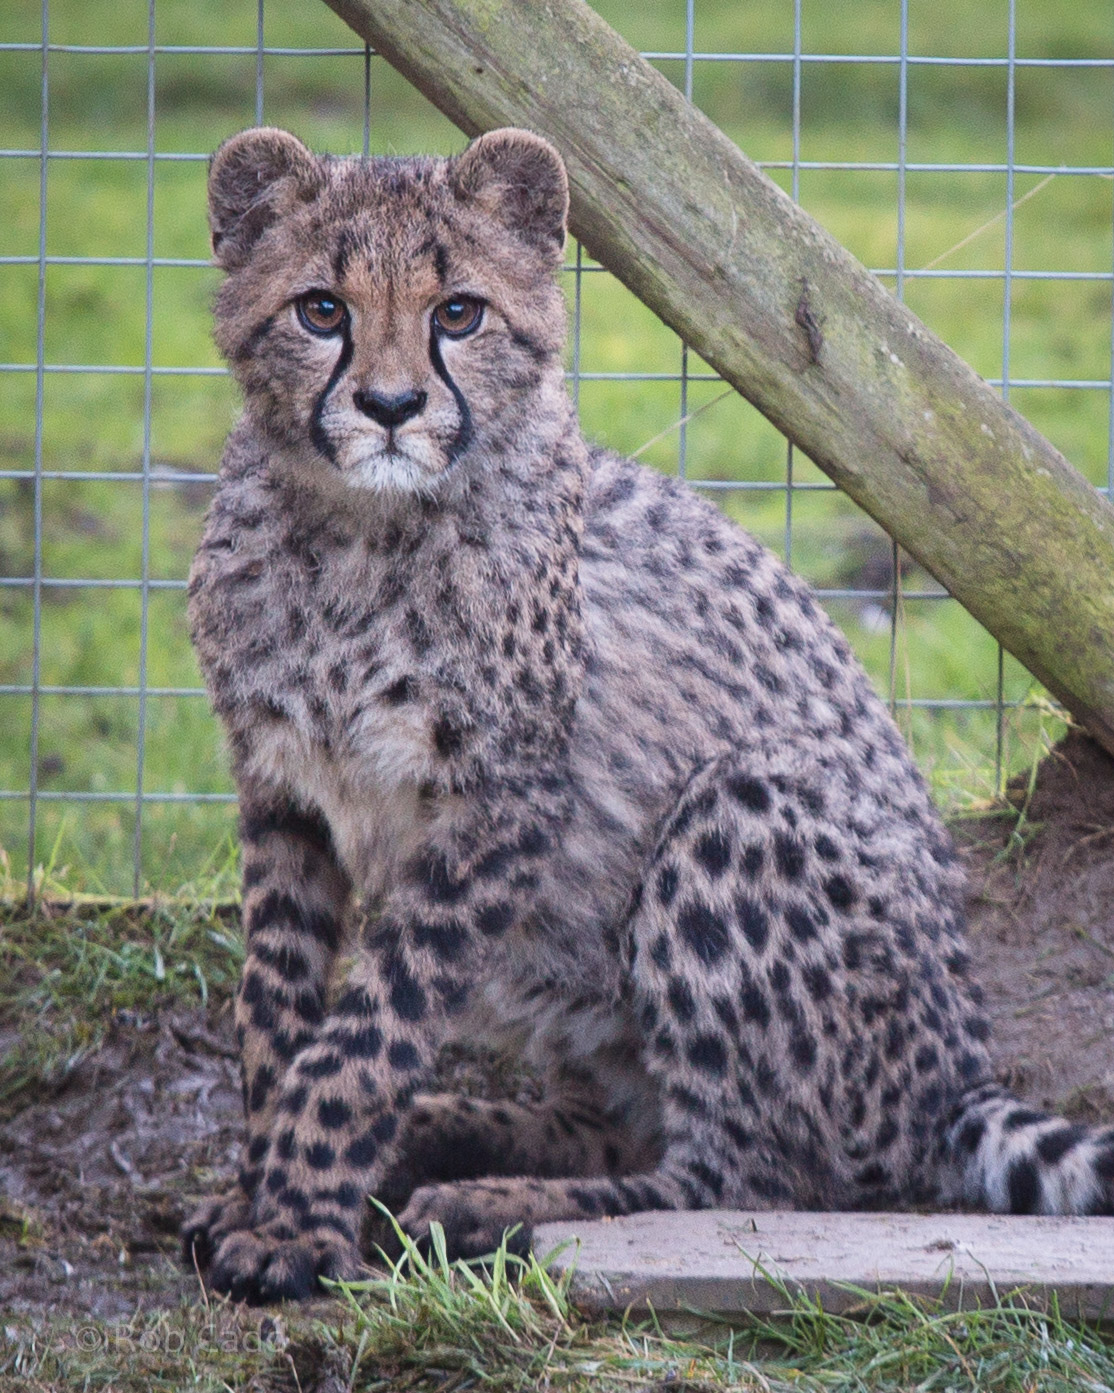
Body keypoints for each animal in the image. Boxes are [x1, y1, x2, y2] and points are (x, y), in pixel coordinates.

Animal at [183, 124, 1114, 1305]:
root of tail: (954, 1076)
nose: (391, 408)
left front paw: (296, 1226)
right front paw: (256, 1194)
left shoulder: (500, 807)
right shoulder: (284, 793)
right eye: (320, 310)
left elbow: (366, 1037)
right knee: (632, 1126)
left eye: (458, 313)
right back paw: (450, 1136)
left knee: (750, 1177)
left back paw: (490, 1203)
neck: (355, 531)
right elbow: (276, 1017)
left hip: (742, 807)